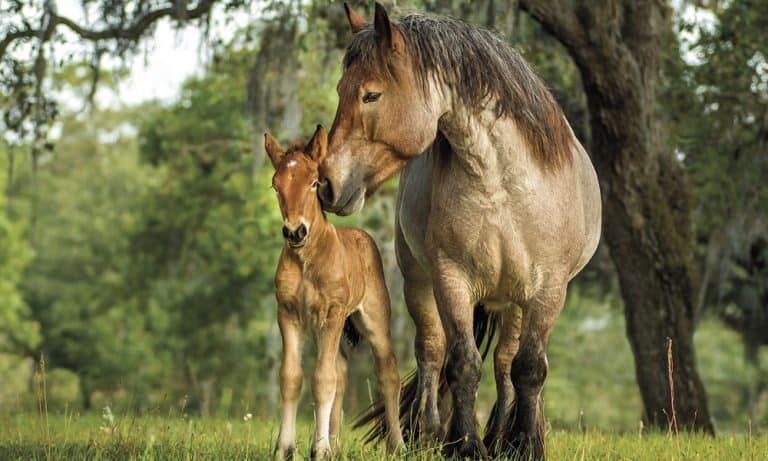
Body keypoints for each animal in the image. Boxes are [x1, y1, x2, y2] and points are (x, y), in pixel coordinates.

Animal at [268, 124, 404, 458]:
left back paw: (397, 445)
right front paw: (285, 449)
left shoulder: (331, 312)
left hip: (372, 318)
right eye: (276, 186)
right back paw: (338, 444)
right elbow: (292, 377)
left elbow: (322, 378)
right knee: (341, 371)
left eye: (314, 182)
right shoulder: (288, 313)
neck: (307, 260)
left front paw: (319, 451)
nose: (295, 232)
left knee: (387, 372)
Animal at [318, 2, 600, 456]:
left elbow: (529, 368)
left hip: (513, 301)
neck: (503, 187)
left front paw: (524, 444)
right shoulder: (453, 280)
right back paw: (428, 435)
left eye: (371, 94)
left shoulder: (548, 290)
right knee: (432, 351)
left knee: (506, 362)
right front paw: (465, 444)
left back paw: (502, 437)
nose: (326, 184)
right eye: (342, 90)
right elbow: (462, 363)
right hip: (419, 282)